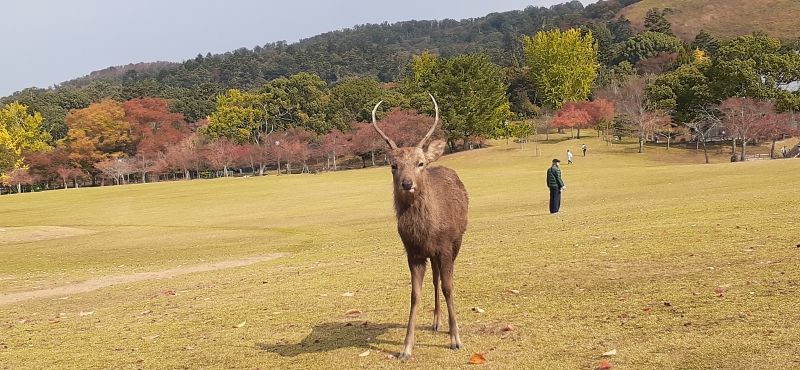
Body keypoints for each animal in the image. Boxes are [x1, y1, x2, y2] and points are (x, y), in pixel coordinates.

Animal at [370, 94, 468, 360]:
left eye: (420, 163)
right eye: (393, 165)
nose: (407, 183)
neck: (425, 233)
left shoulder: (445, 247)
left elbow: (448, 287)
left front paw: (456, 339)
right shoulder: (412, 252)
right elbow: (414, 294)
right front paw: (406, 348)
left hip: (457, 242)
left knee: (442, 280)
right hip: (431, 254)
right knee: (434, 278)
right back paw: (435, 322)